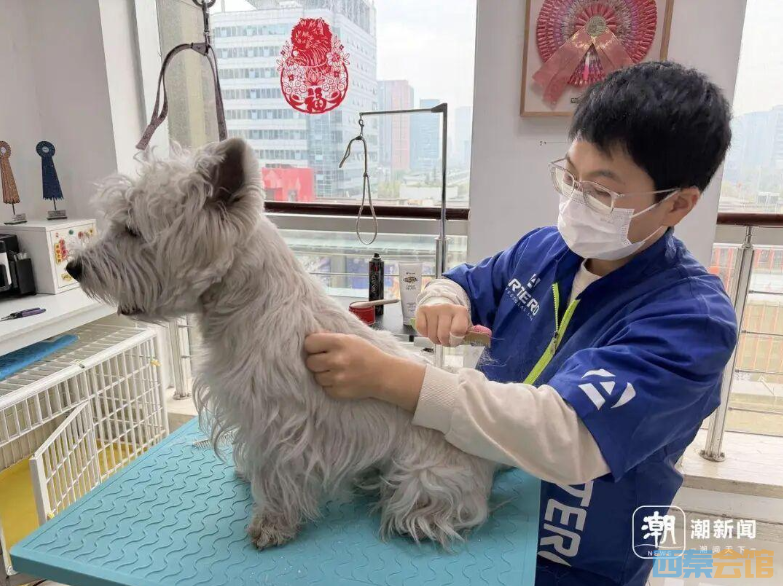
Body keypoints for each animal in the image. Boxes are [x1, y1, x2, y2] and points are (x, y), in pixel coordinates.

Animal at [67, 138, 496, 549]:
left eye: (132, 230)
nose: (74, 267)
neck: (247, 302)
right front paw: (247, 474)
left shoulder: (280, 421)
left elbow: (276, 473)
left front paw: (272, 523)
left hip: (425, 471)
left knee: (433, 502)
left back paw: (415, 517)